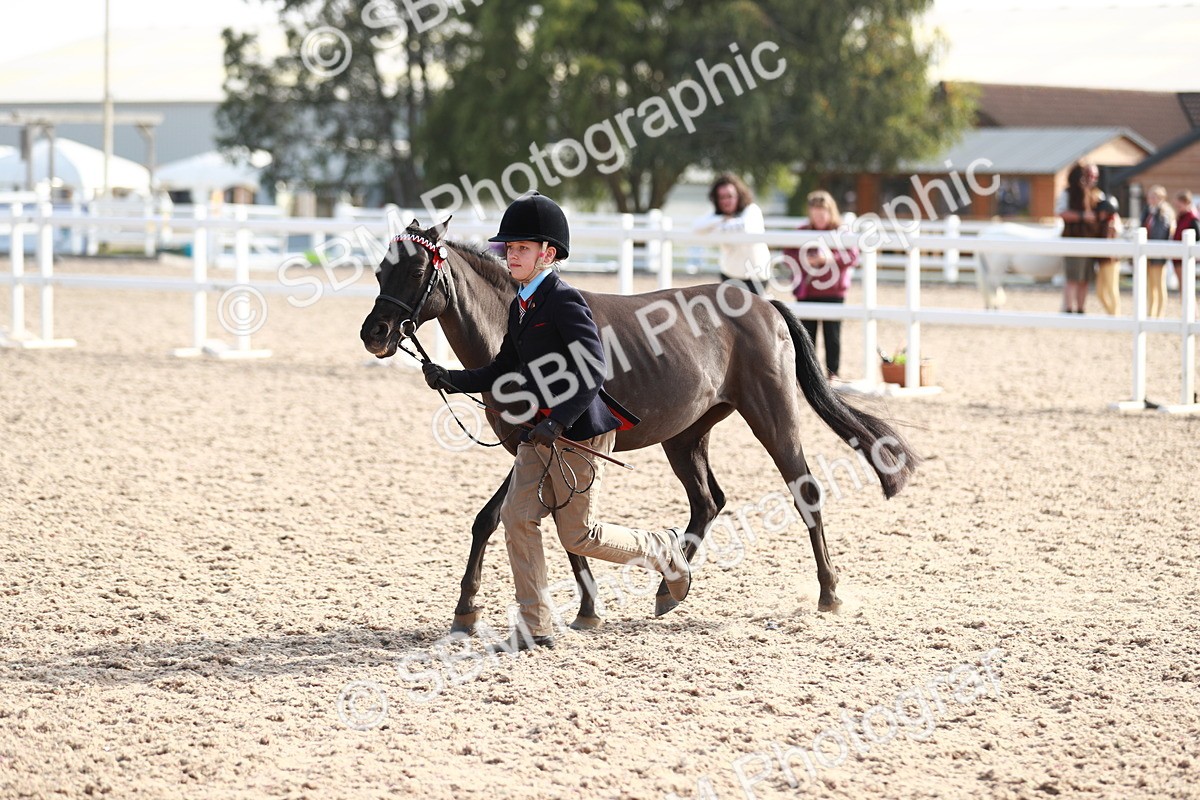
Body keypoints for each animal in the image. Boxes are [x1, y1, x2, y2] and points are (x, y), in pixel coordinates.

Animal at [360, 220, 919, 633]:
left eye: (416, 270)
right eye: (381, 271)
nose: (375, 333)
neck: (513, 328)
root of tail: (764, 305)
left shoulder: (547, 441)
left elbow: (529, 523)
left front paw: (485, 608)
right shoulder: (535, 447)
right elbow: (520, 524)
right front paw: (561, 609)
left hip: (772, 416)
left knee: (804, 491)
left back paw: (829, 592)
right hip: (686, 435)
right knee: (707, 501)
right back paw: (670, 586)